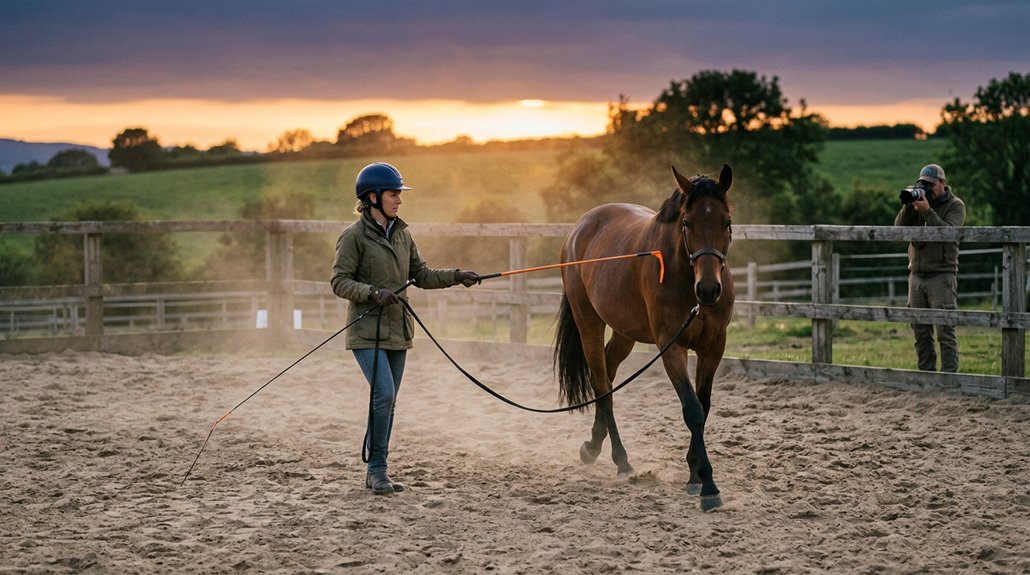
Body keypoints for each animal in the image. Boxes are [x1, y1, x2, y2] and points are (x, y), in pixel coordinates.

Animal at [554, 164, 735, 511]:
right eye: (687, 223)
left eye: (727, 222)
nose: (708, 289)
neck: (682, 274)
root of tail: (580, 228)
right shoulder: (672, 346)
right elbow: (692, 409)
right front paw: (708, 484)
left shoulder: (713, 347)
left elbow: (704, 407)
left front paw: (693, 474)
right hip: (589, 323)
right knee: (602, 384)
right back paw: (621, 461)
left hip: (625, 332)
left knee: (606, 377)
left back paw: (593, 446)